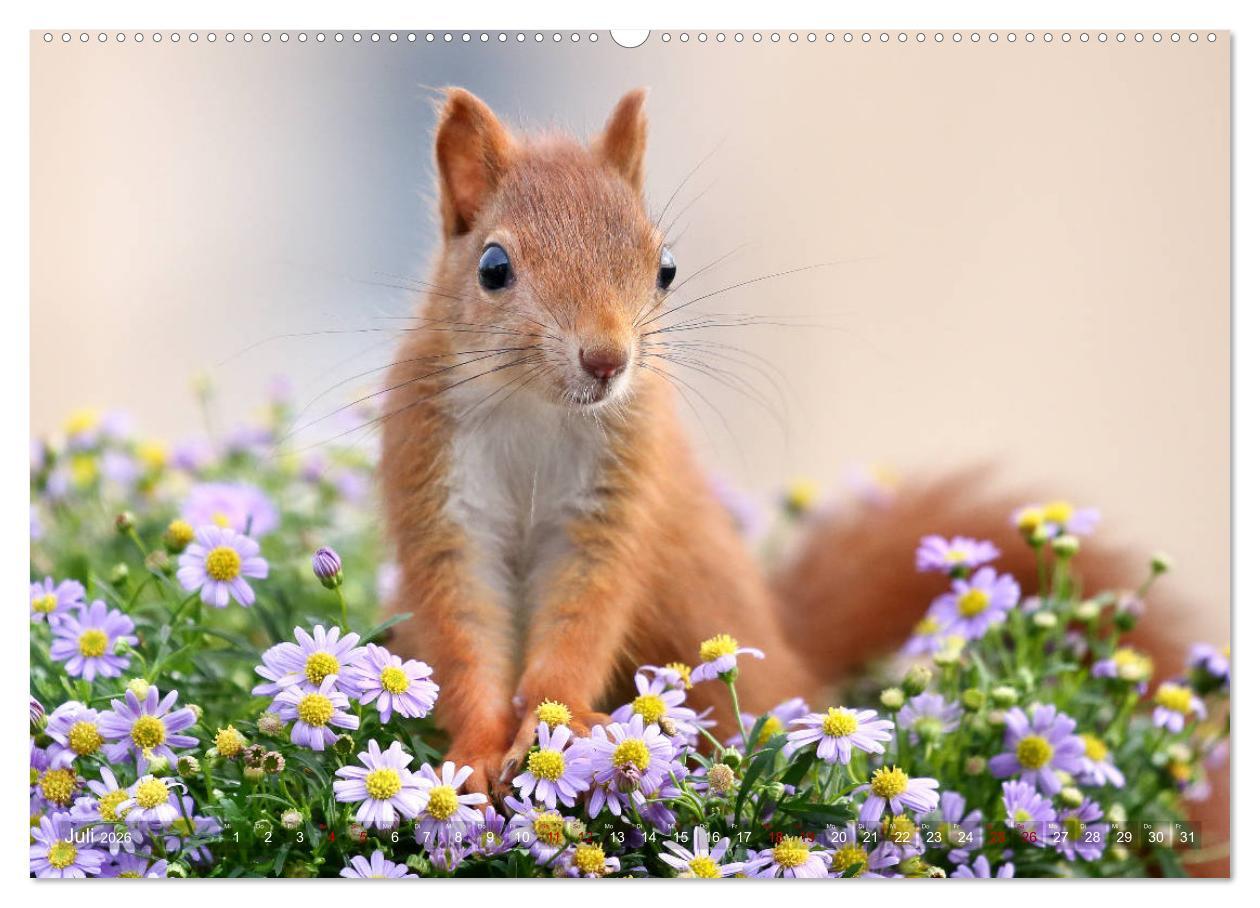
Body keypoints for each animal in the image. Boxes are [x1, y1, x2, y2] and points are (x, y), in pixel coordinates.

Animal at [379, 89, 1225, 871]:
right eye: (493, 268)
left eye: (665, 266)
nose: (607, 359)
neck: (537, 408)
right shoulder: (437, 492)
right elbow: (462, 635)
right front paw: (476, 753)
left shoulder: (616, 500)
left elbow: (584, 618)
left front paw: (559, 723)